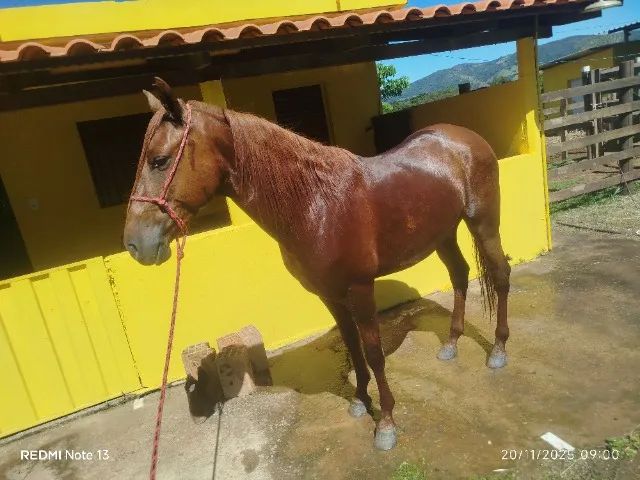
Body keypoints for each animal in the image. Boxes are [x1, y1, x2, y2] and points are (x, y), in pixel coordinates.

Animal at [123, 77, 511, 451]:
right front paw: (359, 401)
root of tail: (462, 137)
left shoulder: (360, 288)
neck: (316, 204)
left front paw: (386, 423)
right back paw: (451, 344)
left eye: (159, 160)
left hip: (483, 224)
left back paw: (498, 351)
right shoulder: (330, 295)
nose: (135, 244)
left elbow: (374, 353)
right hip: (442, 234)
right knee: (459, 274)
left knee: (501, 275)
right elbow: (353, 348)